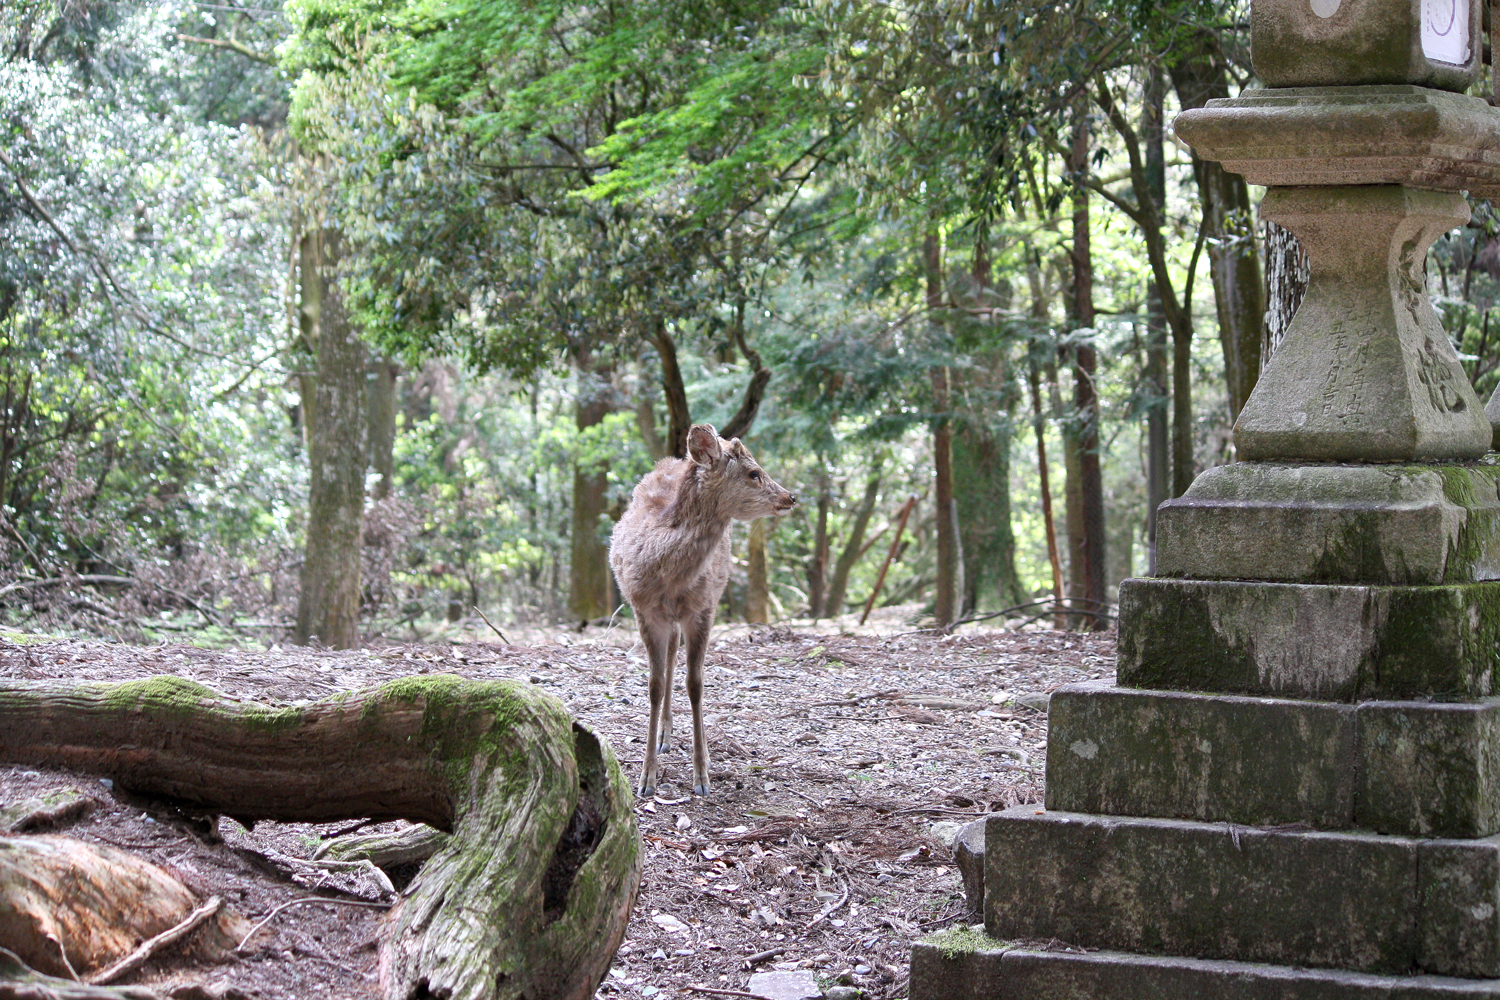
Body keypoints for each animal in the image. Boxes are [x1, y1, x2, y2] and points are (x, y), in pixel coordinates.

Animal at [609, 422, 798, 797]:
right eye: (753, 473)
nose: (790, 497)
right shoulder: (644, 610)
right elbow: (654, 684)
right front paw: (646, 779)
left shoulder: (703, 608)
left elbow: (695, 683)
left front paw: (702, 775)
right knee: (669, 658)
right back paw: (664, 735)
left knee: (674, 655)